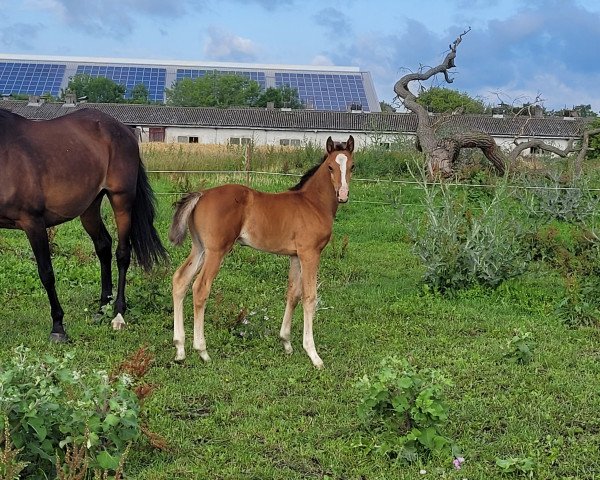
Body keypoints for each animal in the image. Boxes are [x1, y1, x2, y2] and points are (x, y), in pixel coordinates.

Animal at [0, 108, 166, 342]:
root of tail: (123, 129)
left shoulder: (33, 222)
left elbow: (46, 273)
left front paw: (58, 327)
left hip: (121, 200)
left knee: (123, 253)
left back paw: (118, 313)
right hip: (90, 207)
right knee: (103, 246)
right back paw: (102, 308)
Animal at [169, 135, 354, 368]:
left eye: (352, 166)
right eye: (330, 166)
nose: (343, 194)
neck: (312, 203)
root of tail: (201, 195)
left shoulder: (295, 256)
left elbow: (293, 294)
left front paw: (286, 343)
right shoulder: (310, 253)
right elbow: (310, 297)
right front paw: (313, 355)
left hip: (200, 248)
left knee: (180, 280)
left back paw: (180, 348)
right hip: (216, 251)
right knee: (200, 288)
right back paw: (202, 350)